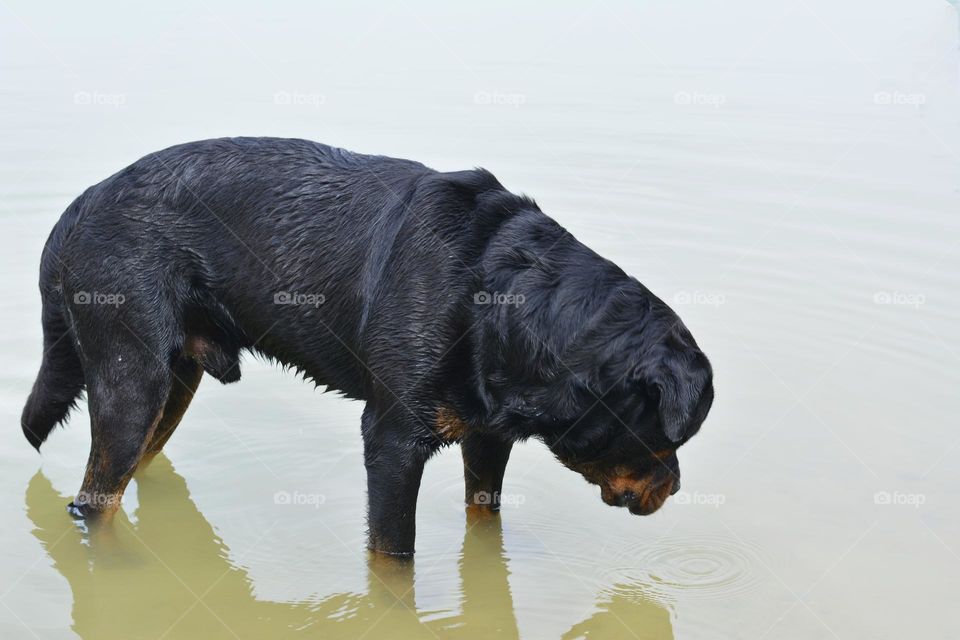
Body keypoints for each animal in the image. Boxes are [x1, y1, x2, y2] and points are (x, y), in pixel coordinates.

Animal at [22, 139, 712, 556]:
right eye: (668, 436)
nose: (677, 486)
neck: (505, 305)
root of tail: (75, 210)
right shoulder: (392, 441)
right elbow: (393, 561)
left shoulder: (488, 436)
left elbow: (484, 523)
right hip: (131, 379)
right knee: (94, 501)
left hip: (175, 377)